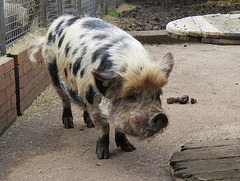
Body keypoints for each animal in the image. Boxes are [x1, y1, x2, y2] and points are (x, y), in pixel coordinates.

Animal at [29, 15, 173, 160]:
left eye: (157, 94)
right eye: (131, 96)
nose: (160, 115)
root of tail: (59, 19)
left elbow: (119, 128)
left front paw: (130, 149)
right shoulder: (94, 104)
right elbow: (103, 129)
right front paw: (102, 156)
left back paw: (89, 124)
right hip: (52, 71)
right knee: (64, 100)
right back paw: (69, 124)